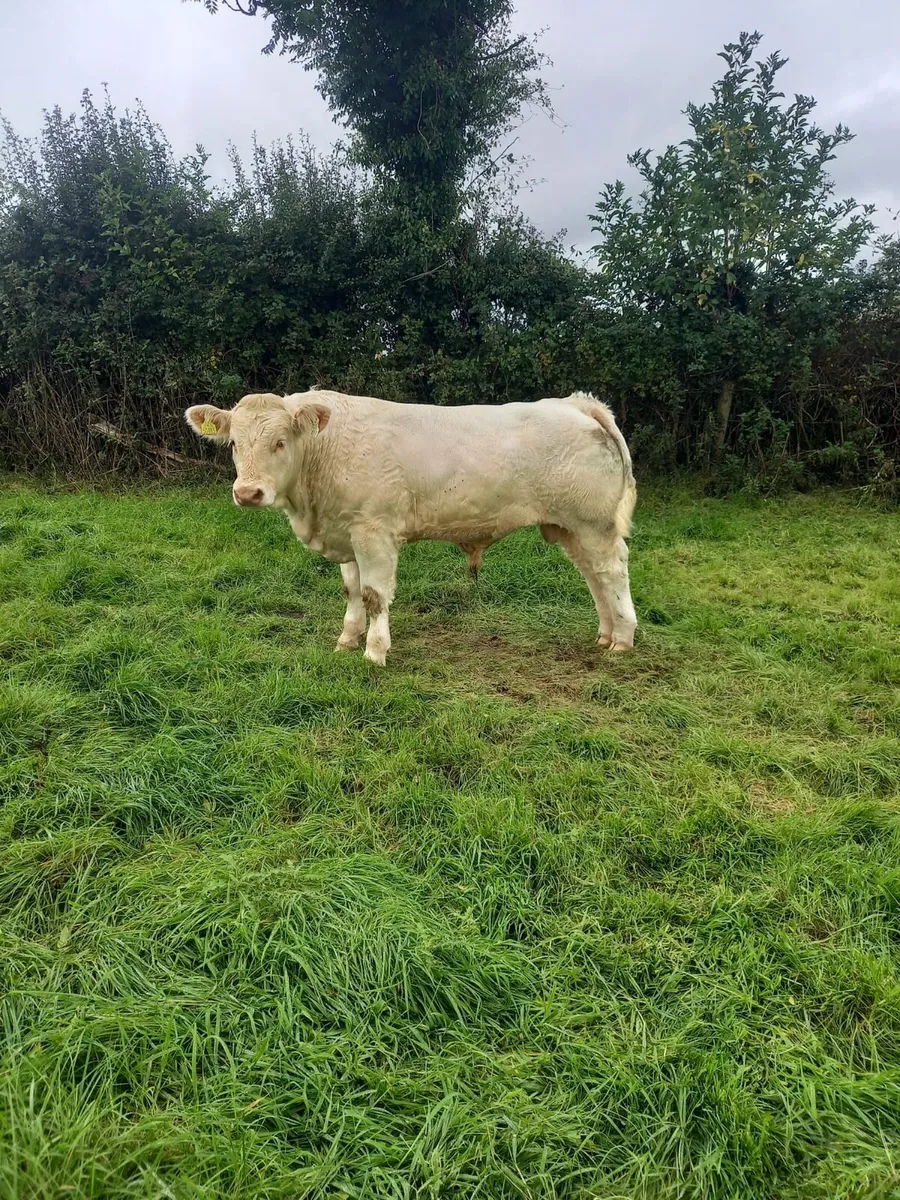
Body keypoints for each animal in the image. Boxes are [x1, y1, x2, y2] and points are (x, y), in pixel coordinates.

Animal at [185, 389, 637, 666]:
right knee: (593, 576)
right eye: (234, 444)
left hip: (594, 523)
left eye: (280, 442)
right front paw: (346, 640)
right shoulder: (345, 531)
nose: (248, 493)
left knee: (612, 572)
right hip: (570, 527)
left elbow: (374, 595)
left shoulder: (374, 532)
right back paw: (604, 633)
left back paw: (623, 638)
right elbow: (352, 591)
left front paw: (374, 652)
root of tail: (575, 403)